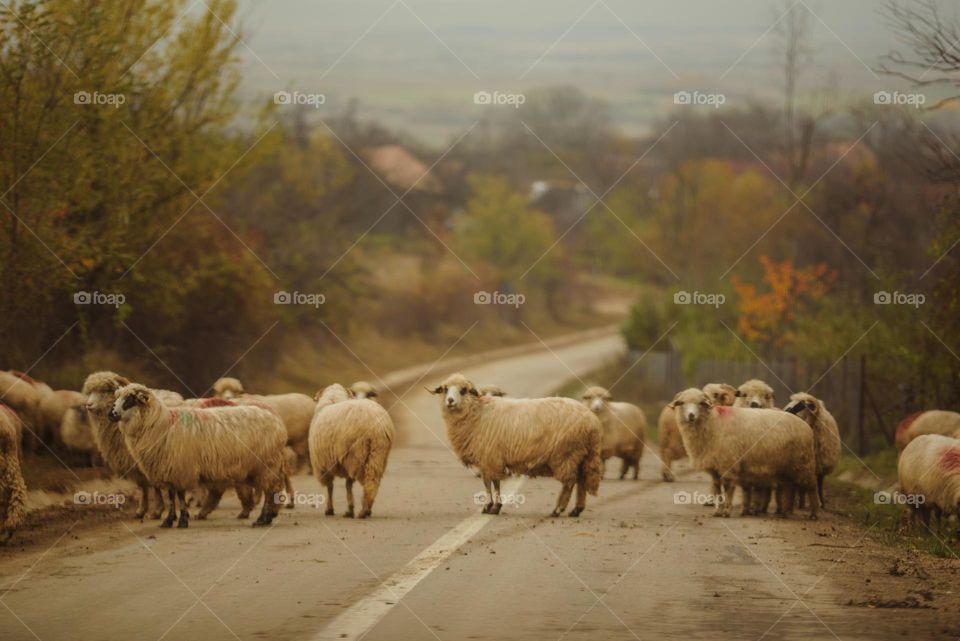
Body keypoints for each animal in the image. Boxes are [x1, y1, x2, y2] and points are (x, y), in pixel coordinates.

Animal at [109, 384, 287, 528]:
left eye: (130, 399)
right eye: (117, 397)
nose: (111, 413)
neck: (161, 424)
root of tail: (277, 422)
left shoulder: (180, 468)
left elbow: (180, 495)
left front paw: (182, 520)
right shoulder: (168, 470)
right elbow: (171, 496)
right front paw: (169, 520)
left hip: (265, 464)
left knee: (270, 490)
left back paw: (262, 519)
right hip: (260, 467)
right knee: (272, 490)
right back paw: (267, 517)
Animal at [309, 384, 395, 518]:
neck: (333, 399)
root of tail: (376, 425)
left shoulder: (324, 465)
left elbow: (331, 487)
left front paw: (331, 509)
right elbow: (346, 485)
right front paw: (349, 509)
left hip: (356, 454)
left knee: (368, 481)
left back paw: (364, 511)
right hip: (378, 454)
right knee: (373, 479)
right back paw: (367, 509)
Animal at [431, 373, 602, 517]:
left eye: (463, 390)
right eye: (445, 389)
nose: (450, 401)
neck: (477, 412)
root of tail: (592, 422)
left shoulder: (489, 456)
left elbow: (489, 483)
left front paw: (491, 507)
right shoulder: (493, 457)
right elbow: (494, 482)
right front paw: (494, 506)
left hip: (566, 454)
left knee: (569, 483)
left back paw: (558, 509)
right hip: (581, 453)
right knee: (581, 480)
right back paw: (576, 510)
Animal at [671, 388, 818, 519]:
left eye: (701, 403)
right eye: (682, 403)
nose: (691, 416)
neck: (713, 423)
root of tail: (805, 425)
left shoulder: (728, 463)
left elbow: (728, 488)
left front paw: (726, 511)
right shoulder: (715, 467)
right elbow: (717, 490)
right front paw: (718, 511)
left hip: (803, 462)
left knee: (811, 486)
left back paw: (813, 514)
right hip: (786, 467)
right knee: (790, 488)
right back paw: (785, 513)